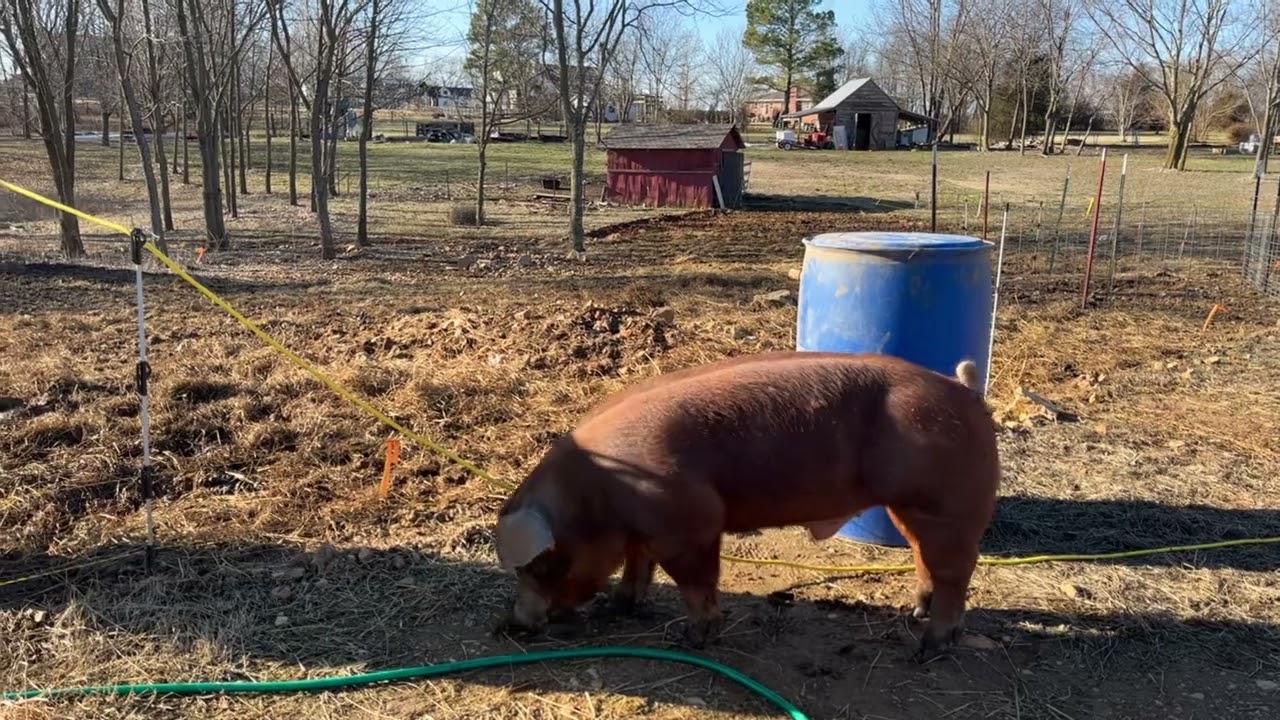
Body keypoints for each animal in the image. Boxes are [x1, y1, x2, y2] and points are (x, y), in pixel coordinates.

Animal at [494, 350, 999, 661]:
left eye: (540, 565)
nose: (513, 624)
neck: (595, 495)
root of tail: (964, 389)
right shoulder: (644, 532)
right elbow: (638, 567)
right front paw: (618, 607)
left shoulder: (691, 524)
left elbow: (696, 583)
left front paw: (693, 639)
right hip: (909, 507)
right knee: (922, 554)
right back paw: (917, 611)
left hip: (946, 504)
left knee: (955, 572)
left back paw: (928, 647)